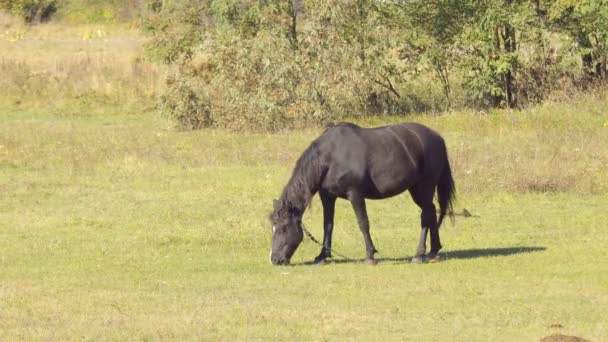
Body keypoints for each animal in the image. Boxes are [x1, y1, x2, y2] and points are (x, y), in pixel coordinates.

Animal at [268, 121, 454, 266]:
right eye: (273, 226)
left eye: (283, 228)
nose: (275, 260)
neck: (331, 157)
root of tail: (437, 137)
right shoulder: (327, 196)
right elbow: (328, 225)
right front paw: (322, 256)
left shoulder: (355, 194)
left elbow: (363, 223)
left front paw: (370, 256)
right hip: (416, 188)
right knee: (431, 212)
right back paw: (433, 251)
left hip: (424, 187)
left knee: (426, 215)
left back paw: (419, 254)